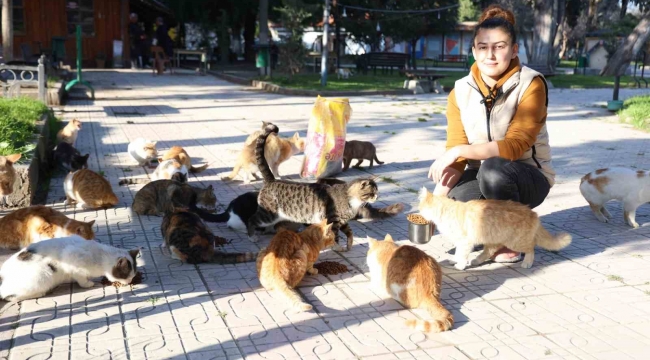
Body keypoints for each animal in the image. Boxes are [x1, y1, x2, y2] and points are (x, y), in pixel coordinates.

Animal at [0, 235, 139, 302]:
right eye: (126, 276)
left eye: (133, 276)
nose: (129, 282)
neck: (101, 256)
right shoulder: (71, 260)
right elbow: (81, 278)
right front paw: (88, 283)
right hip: (43, 275)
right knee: (8, 295)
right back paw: (41, 292)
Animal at [243, 122, 378, 252]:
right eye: (372, 193)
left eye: (377, 191)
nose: (376, 197)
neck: (352, 201)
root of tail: (271, 180)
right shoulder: (333, 221)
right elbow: (336, 237)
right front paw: (337, 247)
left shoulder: (342, 222)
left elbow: (350, 233)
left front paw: (349, 245)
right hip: (268, 214)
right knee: (252, 220)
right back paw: (252, 236)